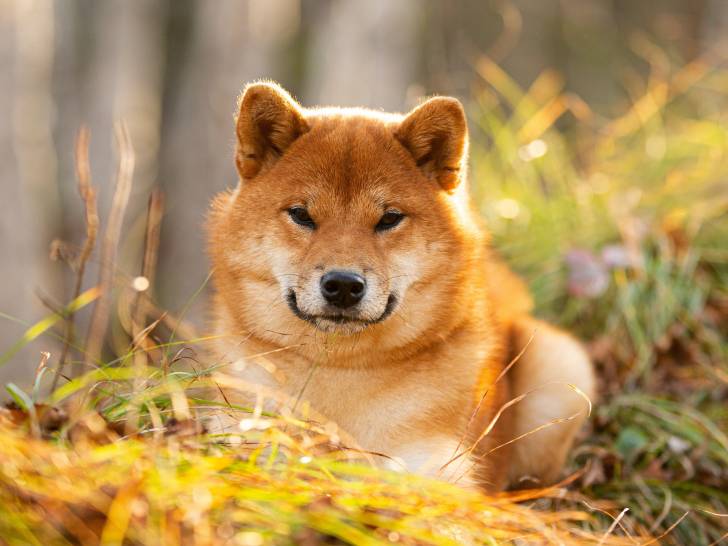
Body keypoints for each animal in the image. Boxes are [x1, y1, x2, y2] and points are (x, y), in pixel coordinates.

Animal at [206, 82, 596, 491]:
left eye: (389, 218)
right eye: (301, 214)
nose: (342, 284)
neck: (338, 374)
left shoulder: (437, 469)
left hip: (563, 368)